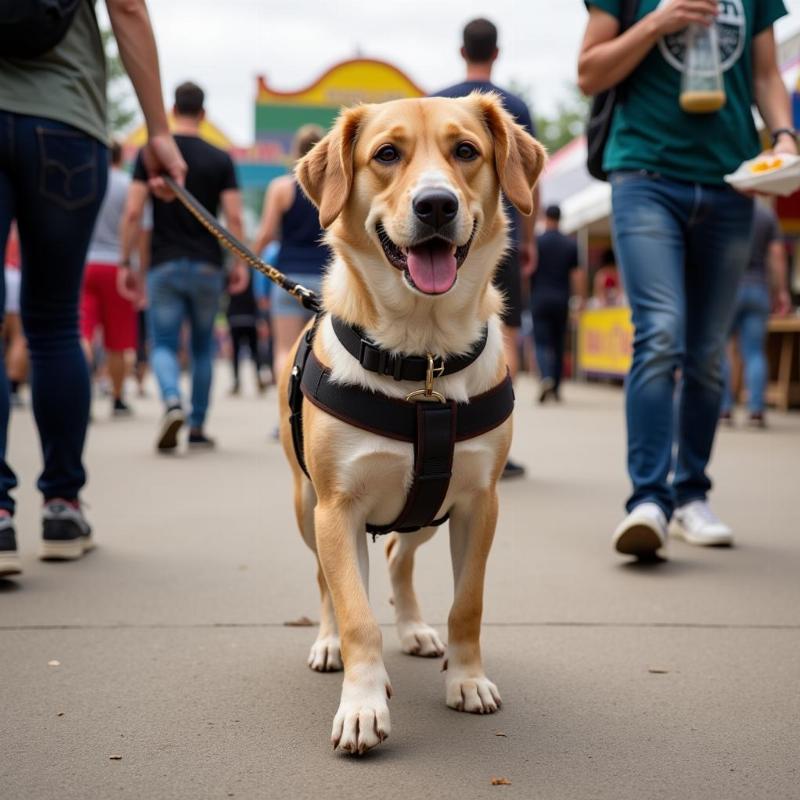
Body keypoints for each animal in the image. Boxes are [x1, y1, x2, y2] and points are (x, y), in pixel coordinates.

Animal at [278, 94, 548, 756]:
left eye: (466, 150)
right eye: (386, 154)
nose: (436, 205)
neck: (420, 357)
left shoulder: (480, 502)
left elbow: (468, 605)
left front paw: (466, 678)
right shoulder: (337, 508)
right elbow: (355, 613)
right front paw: (362, 704)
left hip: (429, 511)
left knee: (400, 552)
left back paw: (416, 628)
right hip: (306, 507)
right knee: (326, 582)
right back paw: (328, 643)